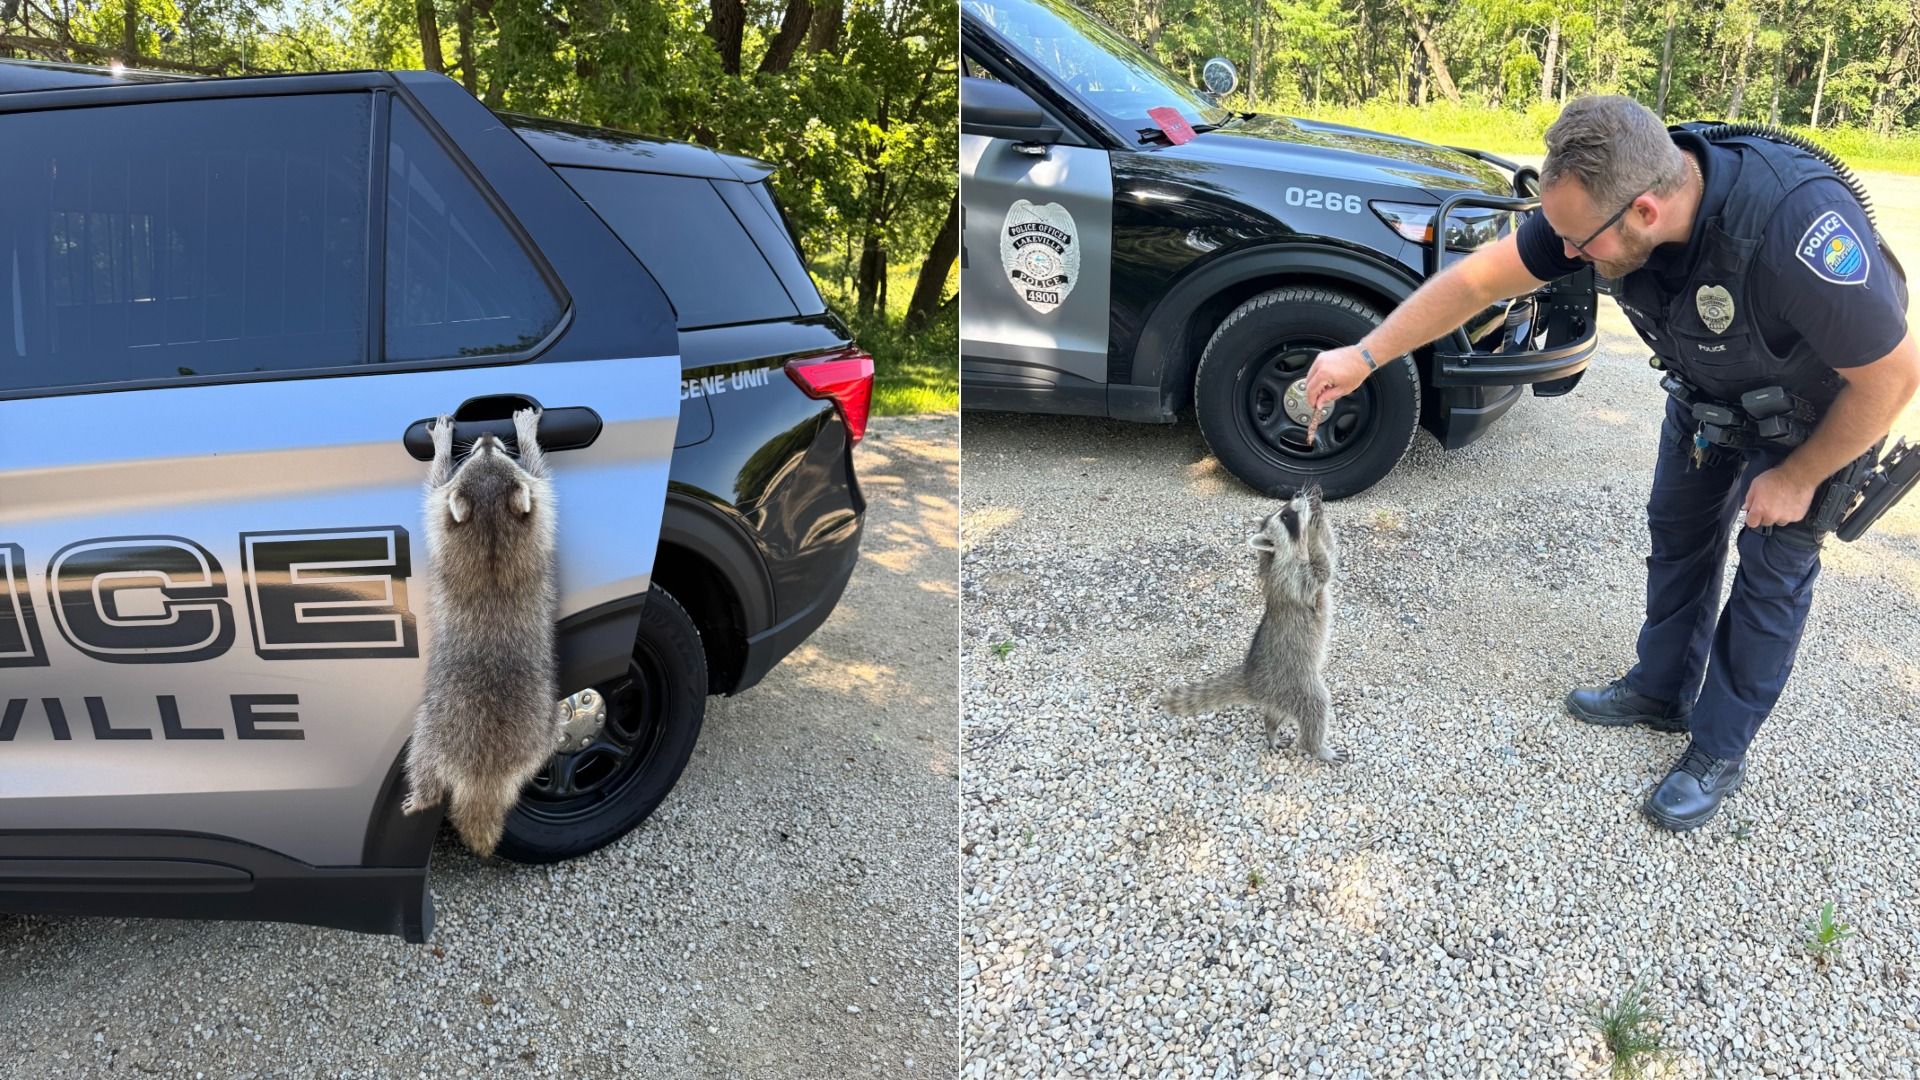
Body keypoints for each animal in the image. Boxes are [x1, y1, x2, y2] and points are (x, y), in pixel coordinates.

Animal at [402, 407, 563, 856]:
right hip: (533, 740)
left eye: (496, 454)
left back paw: (421, 797)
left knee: (421, 762)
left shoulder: (535, 512)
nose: (489, 435)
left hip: (433, 731)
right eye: (480, 454)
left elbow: (437, 485)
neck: (492, 523)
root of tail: (484, 776)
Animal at [1161, 485, 1343, 761]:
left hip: (1283, 693)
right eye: (1286, 516)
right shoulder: (1294, 578)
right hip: (1296, 684)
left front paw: (1318, 515)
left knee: (1275, 712)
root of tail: (1252, 679)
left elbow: (1331, 553)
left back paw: (1271, 727)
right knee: (1315, 707)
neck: (1275, 557)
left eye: (1286, 509)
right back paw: (1316, 747)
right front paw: (1312, 528)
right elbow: (1323, 569)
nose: (1298, 495)